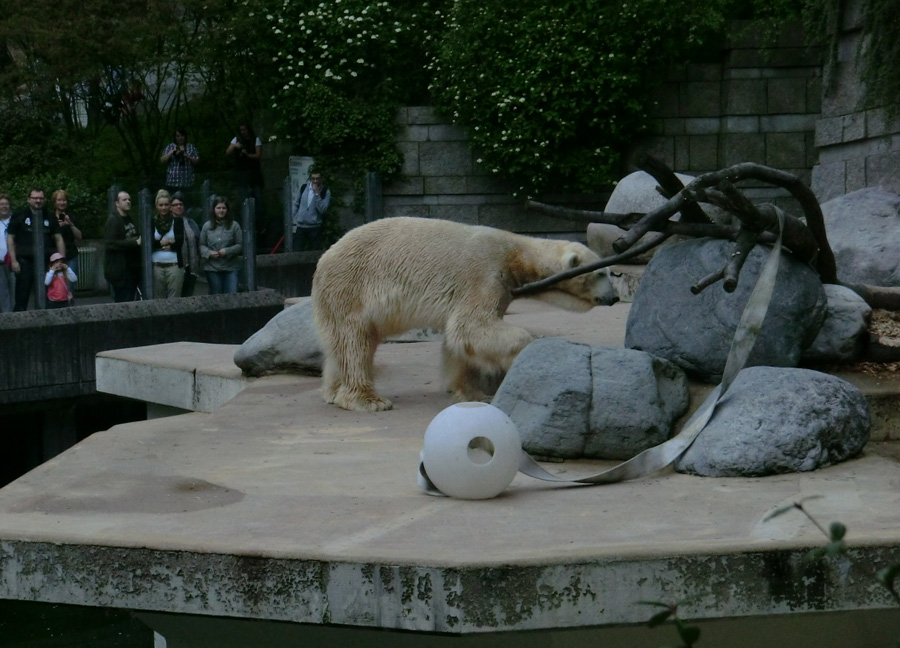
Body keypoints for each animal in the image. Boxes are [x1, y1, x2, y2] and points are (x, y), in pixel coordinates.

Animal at [312, 216, 620, 410]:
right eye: (601, 273)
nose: (614, 297)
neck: (517, 255)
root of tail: (323, 259)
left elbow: (460, 341)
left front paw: (473, 392)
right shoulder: (485, 273)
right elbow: (471, 326)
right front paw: (525, 351)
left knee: (342, 344)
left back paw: (332, 392)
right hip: (351, 287)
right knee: (356, 342)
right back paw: (368, 401)